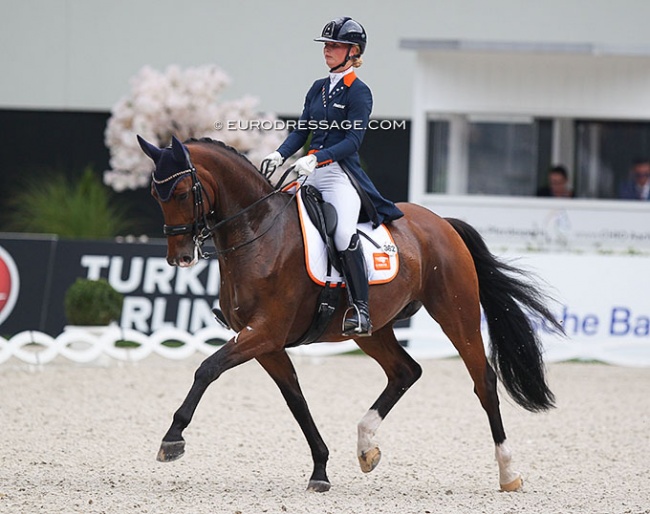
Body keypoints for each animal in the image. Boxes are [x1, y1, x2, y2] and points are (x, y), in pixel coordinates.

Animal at [138, 134, 560, 490]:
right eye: (155, 194)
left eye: (180, 191)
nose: (180, 258)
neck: (258, 232)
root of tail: (442, 223)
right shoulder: (267, 343)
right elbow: (296, 400)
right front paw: (320, 470)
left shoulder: (265, 332)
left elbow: (207, 368)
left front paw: (172, 439)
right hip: (371, 329)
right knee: (405, 371)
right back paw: (366, 446)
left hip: (457, 314)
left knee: (483, 381)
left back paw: (508, 472)